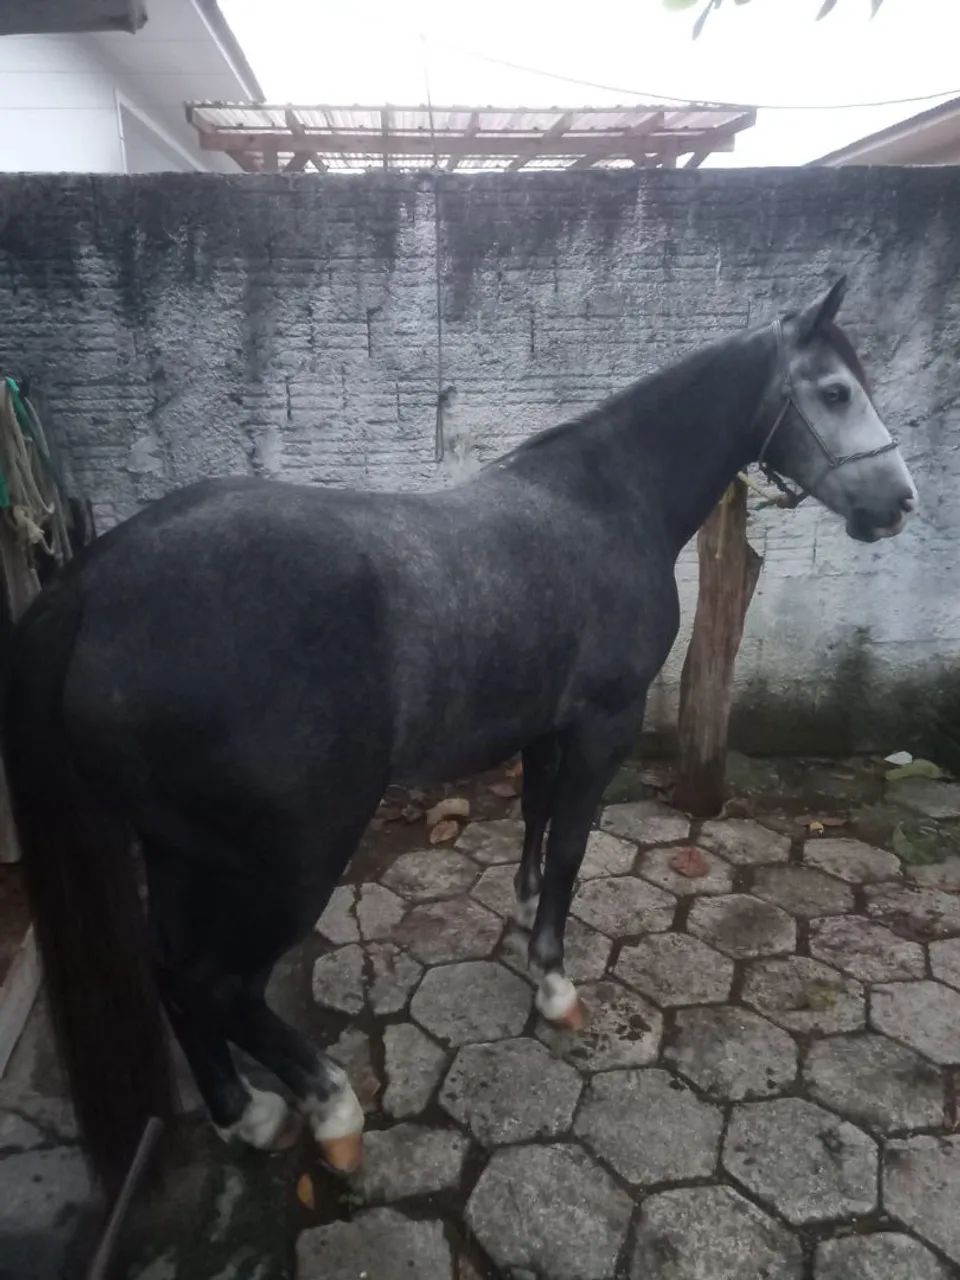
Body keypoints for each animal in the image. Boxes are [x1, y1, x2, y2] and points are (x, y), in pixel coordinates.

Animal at [5, 276, 917, 1190]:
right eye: (836, 392)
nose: (900, 503)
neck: (609, 501)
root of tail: (91, 591)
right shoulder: (603, 724)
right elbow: (572, 845)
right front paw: (555, 985)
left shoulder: (548, 725)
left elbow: (537, 820)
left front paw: (523, 921)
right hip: (292, 855)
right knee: (217, 985)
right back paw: (331, 1110)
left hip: (178, 846)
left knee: (172, 973)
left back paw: (247, 1113)